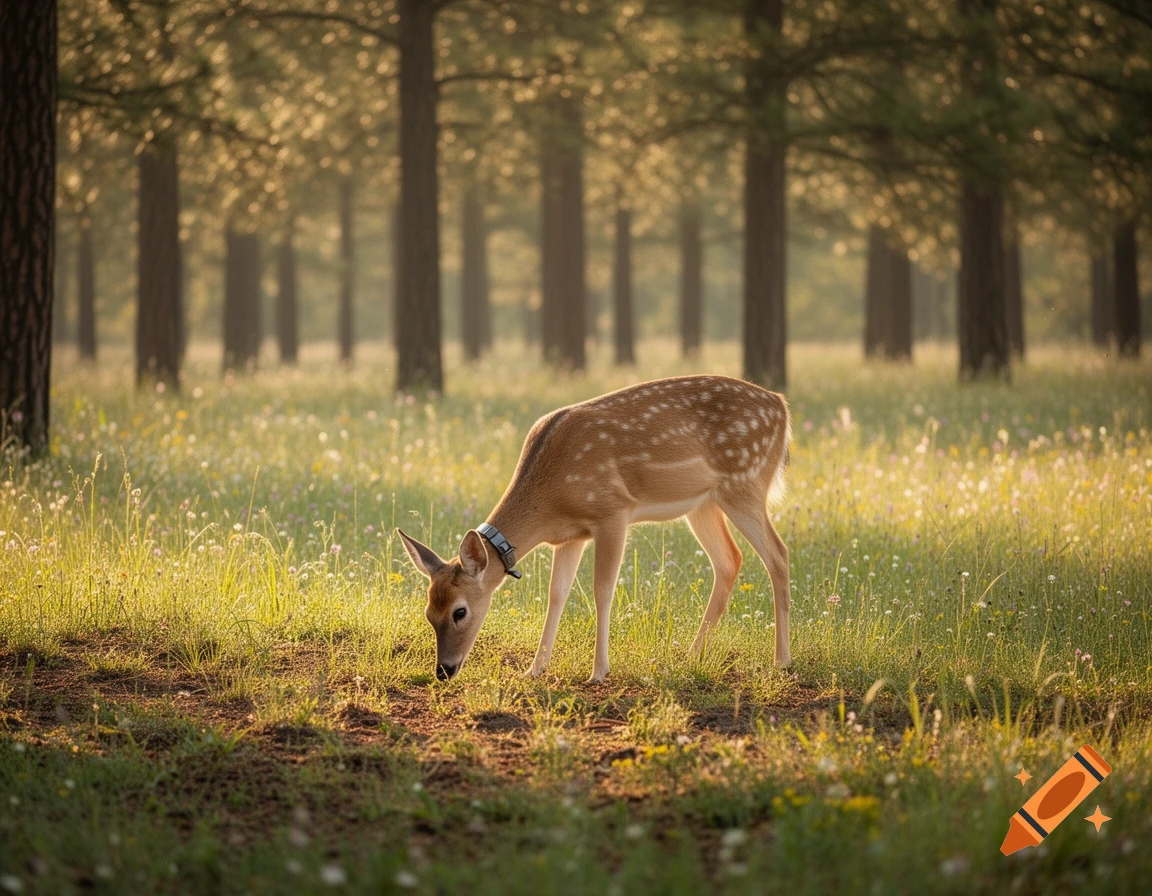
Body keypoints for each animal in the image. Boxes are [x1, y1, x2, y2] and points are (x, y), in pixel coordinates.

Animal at [396, 374, 792, 683]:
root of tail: (782, 406)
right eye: (428, 612)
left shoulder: (612, 511)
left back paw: (781, 662)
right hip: (703, 503)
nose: (444, 671)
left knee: (778, 554)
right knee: (729, 561)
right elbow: (557, 594)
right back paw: (690, 656)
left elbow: (602, 590)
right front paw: (534, 670)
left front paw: (599, 671)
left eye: (459, 611)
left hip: (745, 482)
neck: (551, 498)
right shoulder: (569, 536)